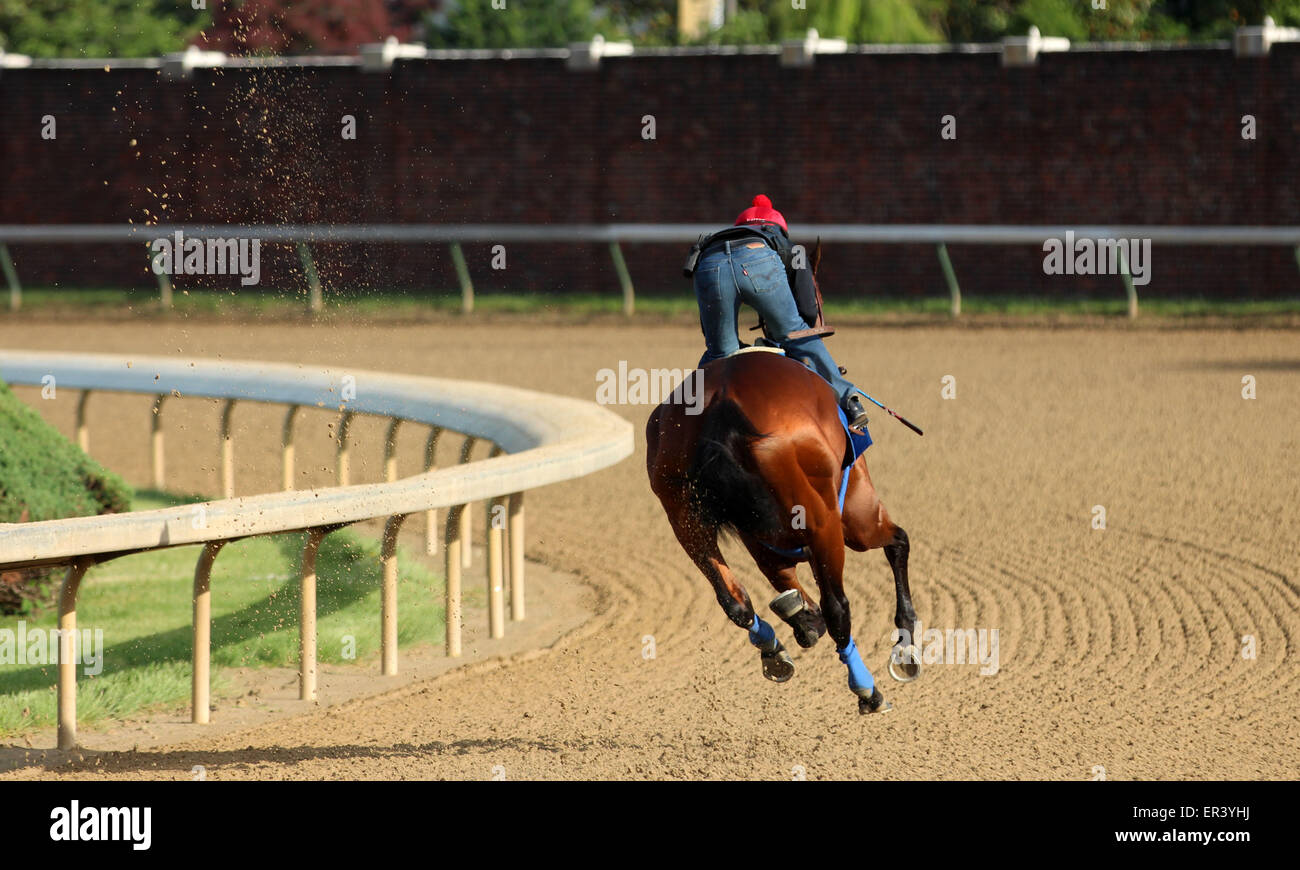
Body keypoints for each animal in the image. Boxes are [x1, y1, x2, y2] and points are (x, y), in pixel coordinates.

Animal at [644, 348, 920, 717]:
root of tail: (721, 401)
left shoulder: (764, 545)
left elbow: (785, 588)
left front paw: (802, 620)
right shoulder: (856, 513)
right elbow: (897, 543)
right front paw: (906, 638)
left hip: (684, 517)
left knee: (735, 601)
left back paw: (776, 646)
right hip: (832, 521)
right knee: (838, 606)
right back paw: (867, 690)